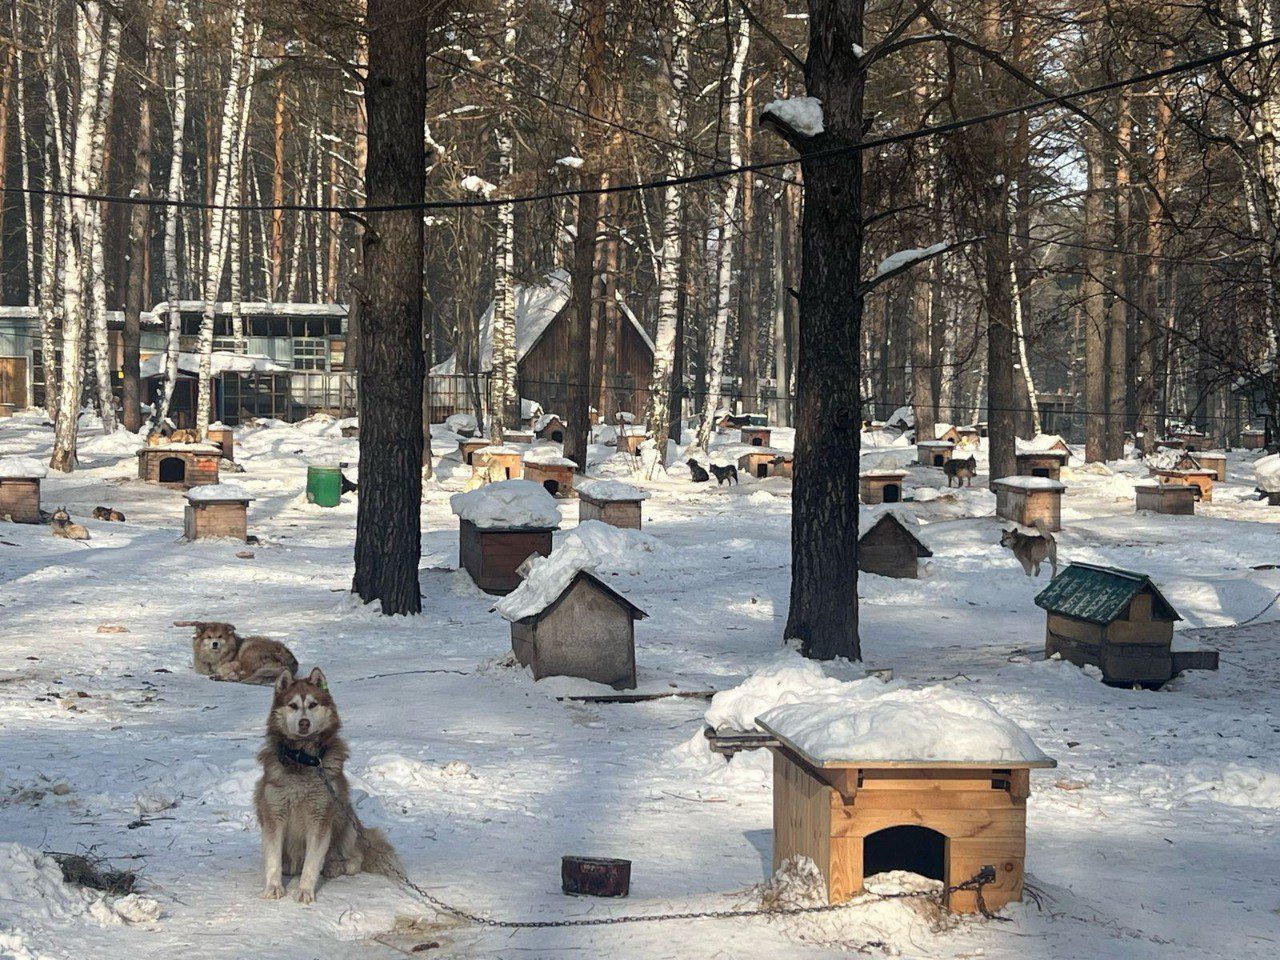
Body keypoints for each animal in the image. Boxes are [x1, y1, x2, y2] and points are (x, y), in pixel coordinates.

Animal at [254, 670, 399, 906]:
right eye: (293, 706)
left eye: (313, 704)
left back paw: (335, 865)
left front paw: (305, 890)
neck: (303, 760)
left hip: (346, 819)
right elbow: (273, 858)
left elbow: (312, 862)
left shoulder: (321, 818)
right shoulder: (274, 814)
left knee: (355, 859)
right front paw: (274, 887)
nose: (304, 723)